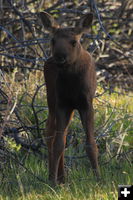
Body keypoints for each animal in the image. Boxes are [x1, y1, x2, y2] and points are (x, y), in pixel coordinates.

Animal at [39, 11, 99, 185]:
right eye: (53, 40)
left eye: (74, 41)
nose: (60, 56)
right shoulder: (62, 104)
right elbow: (59, 144)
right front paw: (52, 181)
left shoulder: (86, 104)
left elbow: (91, 144)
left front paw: (98, 179)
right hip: (51, 99)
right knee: (50, 133)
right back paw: (55, 177)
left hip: (68, 108)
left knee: (59, 134)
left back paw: (62, 178)